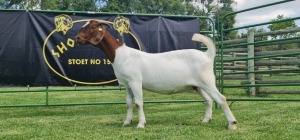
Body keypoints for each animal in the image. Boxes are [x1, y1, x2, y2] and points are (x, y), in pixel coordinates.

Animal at [75, 20, 237, 130]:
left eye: (92, 27)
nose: (77, 38)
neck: (120, 54)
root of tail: (207, 55)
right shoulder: (127, 84)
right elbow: (128, 104)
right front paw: (126, 122)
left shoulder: (135, 81)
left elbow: (138, 103)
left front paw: (141, 124)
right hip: (197, 86)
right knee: (209, 100)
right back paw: (206, 120)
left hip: (207, 81)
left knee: (221, 98)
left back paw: (232, 124)